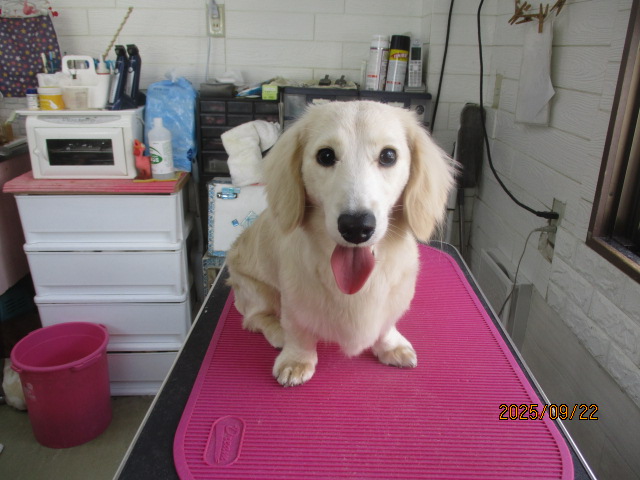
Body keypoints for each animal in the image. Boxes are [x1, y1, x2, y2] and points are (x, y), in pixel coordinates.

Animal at [226, 101, 455, 386]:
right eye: (325, 156)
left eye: (388, 156)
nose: (356, 227)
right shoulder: (294, 298)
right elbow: (298, 330)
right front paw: (297, 360)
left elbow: (386, 325)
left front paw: (390, 346)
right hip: (257, 290)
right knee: (255, 318)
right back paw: (277, 332)